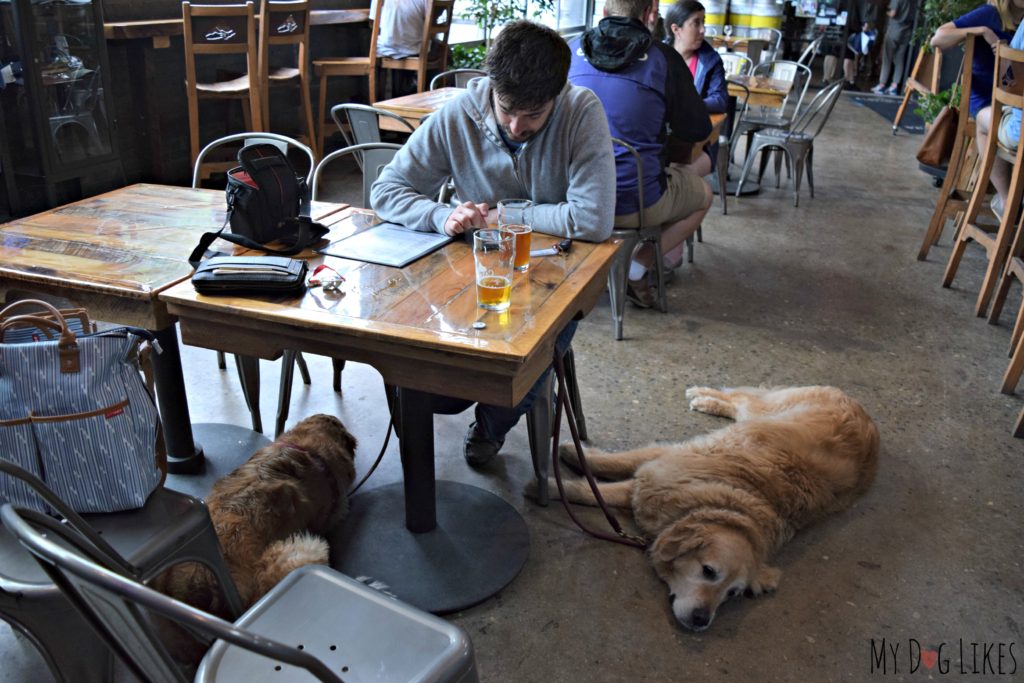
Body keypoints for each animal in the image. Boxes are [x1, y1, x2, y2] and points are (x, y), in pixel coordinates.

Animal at [552, 387, 880, 634]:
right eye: (708, 571)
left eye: (732, 593)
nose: (701, 621)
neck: (728, 505)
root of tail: (865, 414)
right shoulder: (661, 468)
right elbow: (607, 470)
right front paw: (564, 464)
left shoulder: (653, 487)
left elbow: (600, 492)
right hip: (764, 410)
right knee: (741, 397)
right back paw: (703, 395)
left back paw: (704, 399)